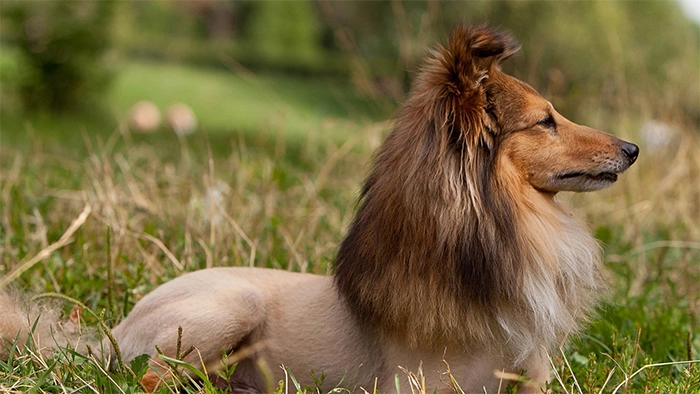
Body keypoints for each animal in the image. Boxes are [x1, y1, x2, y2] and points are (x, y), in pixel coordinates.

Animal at [0, 25, 636, 394]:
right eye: (545, 121)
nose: (631, 149)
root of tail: (116, 331)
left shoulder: (532, 380)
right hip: (229, 306)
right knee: (153, 378)